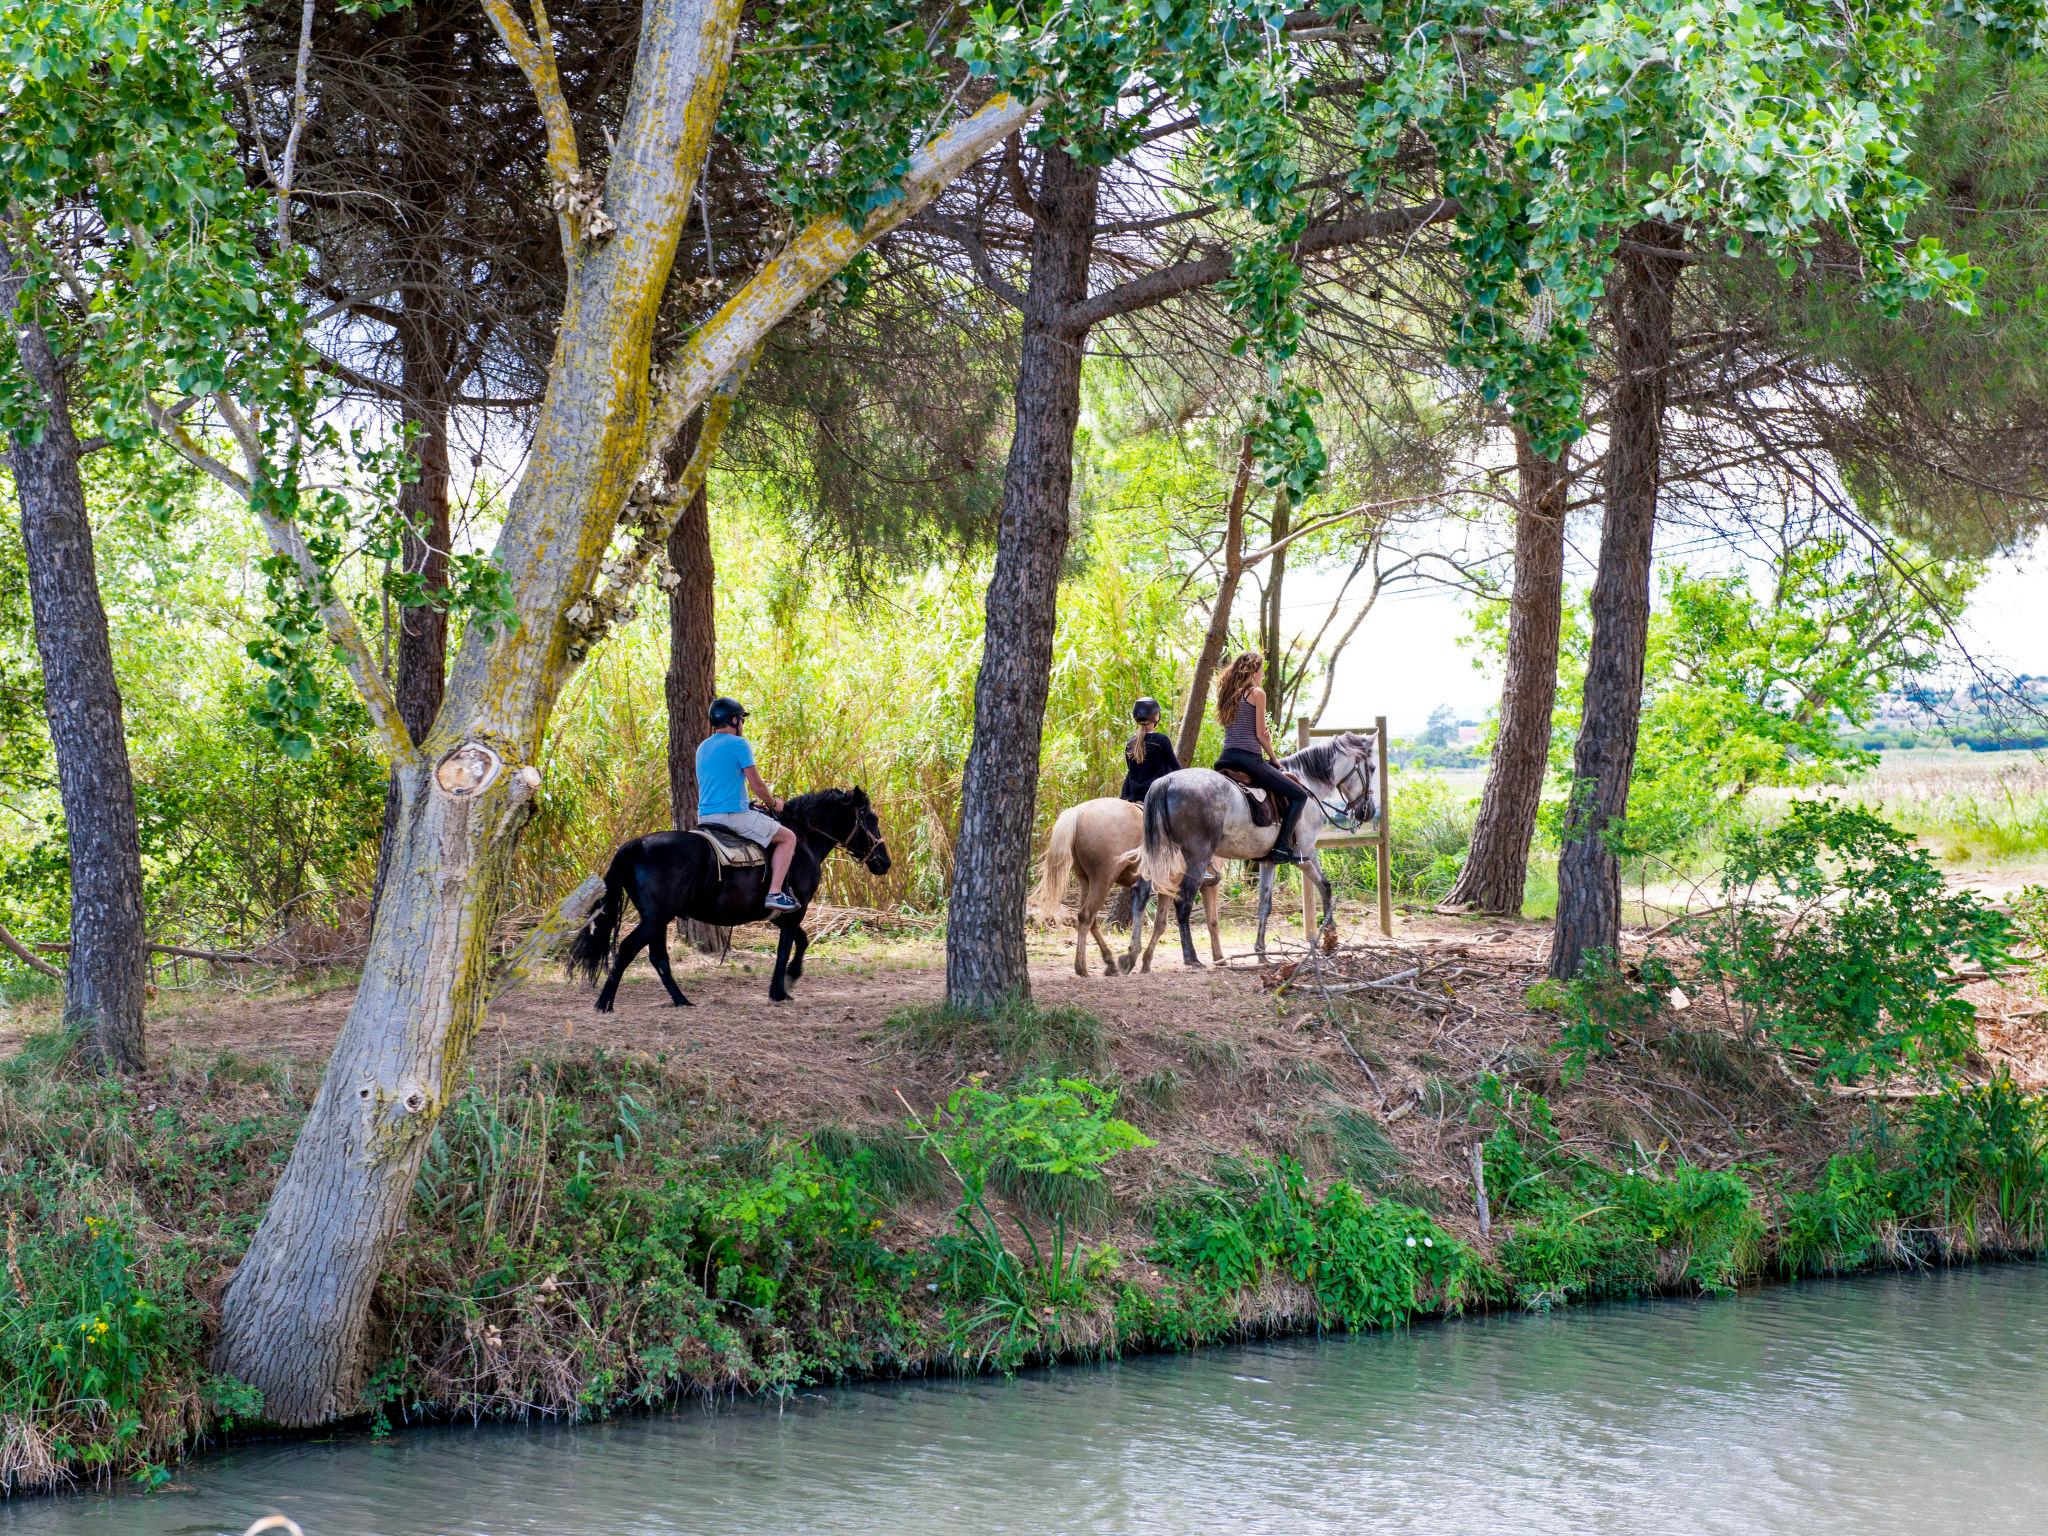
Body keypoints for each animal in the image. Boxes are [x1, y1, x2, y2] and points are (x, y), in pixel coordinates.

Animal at [569, 786, 888, 1015]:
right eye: (871, 820)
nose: (885, 862)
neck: (803, 840)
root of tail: (637, 844)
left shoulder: (780, 915)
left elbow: (801, 939)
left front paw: (789, 979)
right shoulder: (796, 910)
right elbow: (788, 947)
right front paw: (781, 988)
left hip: (657, 919)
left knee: (658, 957)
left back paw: (681, 1000)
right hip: (656, 917)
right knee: (627, 949)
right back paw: (605, 1003)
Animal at [1032, 798, 1220, 978]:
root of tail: (1078, 812)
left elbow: (1162, 922)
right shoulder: (1185, 887)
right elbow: (1199, 921)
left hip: (1085, 880)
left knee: (1089, 919)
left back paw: (1109, 963)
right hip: (1103, 879)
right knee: (1087, 915)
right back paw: (1082, 968)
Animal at [1138, 729, 1376, 966]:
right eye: (1372, 769)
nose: (1369, 812)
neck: (1308, 786)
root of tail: (1166, 782)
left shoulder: (1269, 860)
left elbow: (1265, 904)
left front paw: (1261, 953)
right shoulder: (1305, 852)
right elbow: (1325, 887)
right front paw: (1331, 940)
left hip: (1164, 858)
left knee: (1148, 892)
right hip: (1197, 857)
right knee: (1183, 901)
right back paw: (1191, 958)